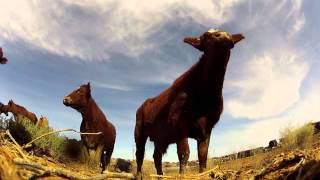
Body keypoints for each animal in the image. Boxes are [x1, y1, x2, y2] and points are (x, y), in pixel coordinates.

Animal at [134, 28, 244, 178]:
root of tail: (144, 104)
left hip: (160, 137)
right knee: (139, 154)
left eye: (228, 33)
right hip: (139, 131)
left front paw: (203, 173)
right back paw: (139, 175)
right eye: (206, 36)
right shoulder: (179, 125)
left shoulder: (207, 128)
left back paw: (161, 175)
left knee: (157, 156)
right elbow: (184, 153)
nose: (224, 36)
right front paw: (183, 175)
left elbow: (202, 155)